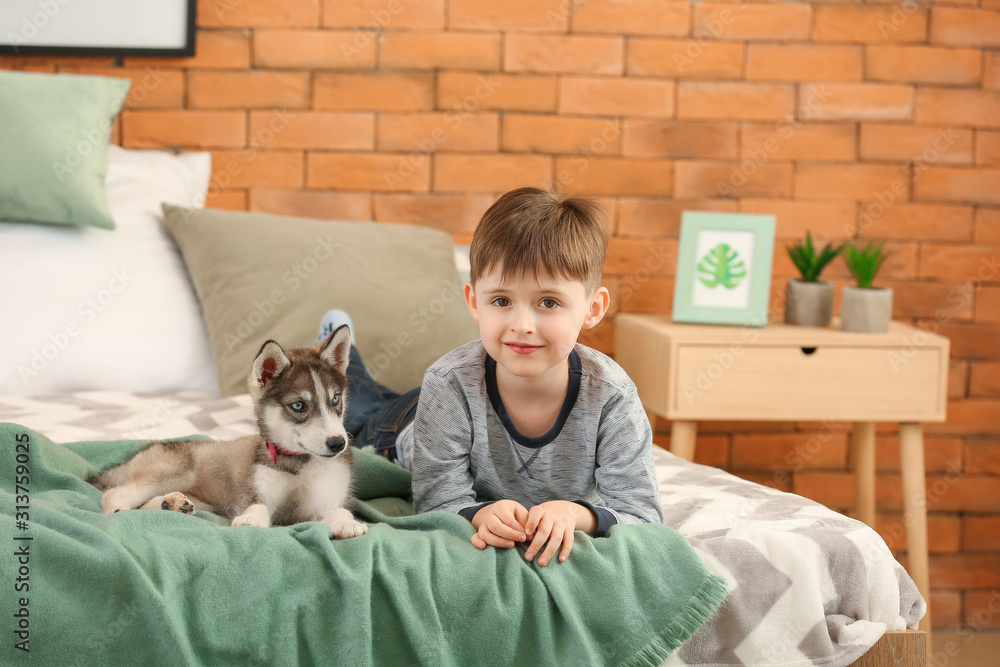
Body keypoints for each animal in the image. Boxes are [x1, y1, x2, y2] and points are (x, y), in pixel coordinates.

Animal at [89, 326, 368, 540]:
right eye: (298, 405)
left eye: (335, 399)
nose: (338, 443)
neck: (299, 464)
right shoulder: (257, 492)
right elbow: (255, 507)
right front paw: (250, 520)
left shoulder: (330, 497)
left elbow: (340, 511)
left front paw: (348, 523)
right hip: (175, 471)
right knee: (115, 493)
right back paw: (123, 511)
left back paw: (173, 504)